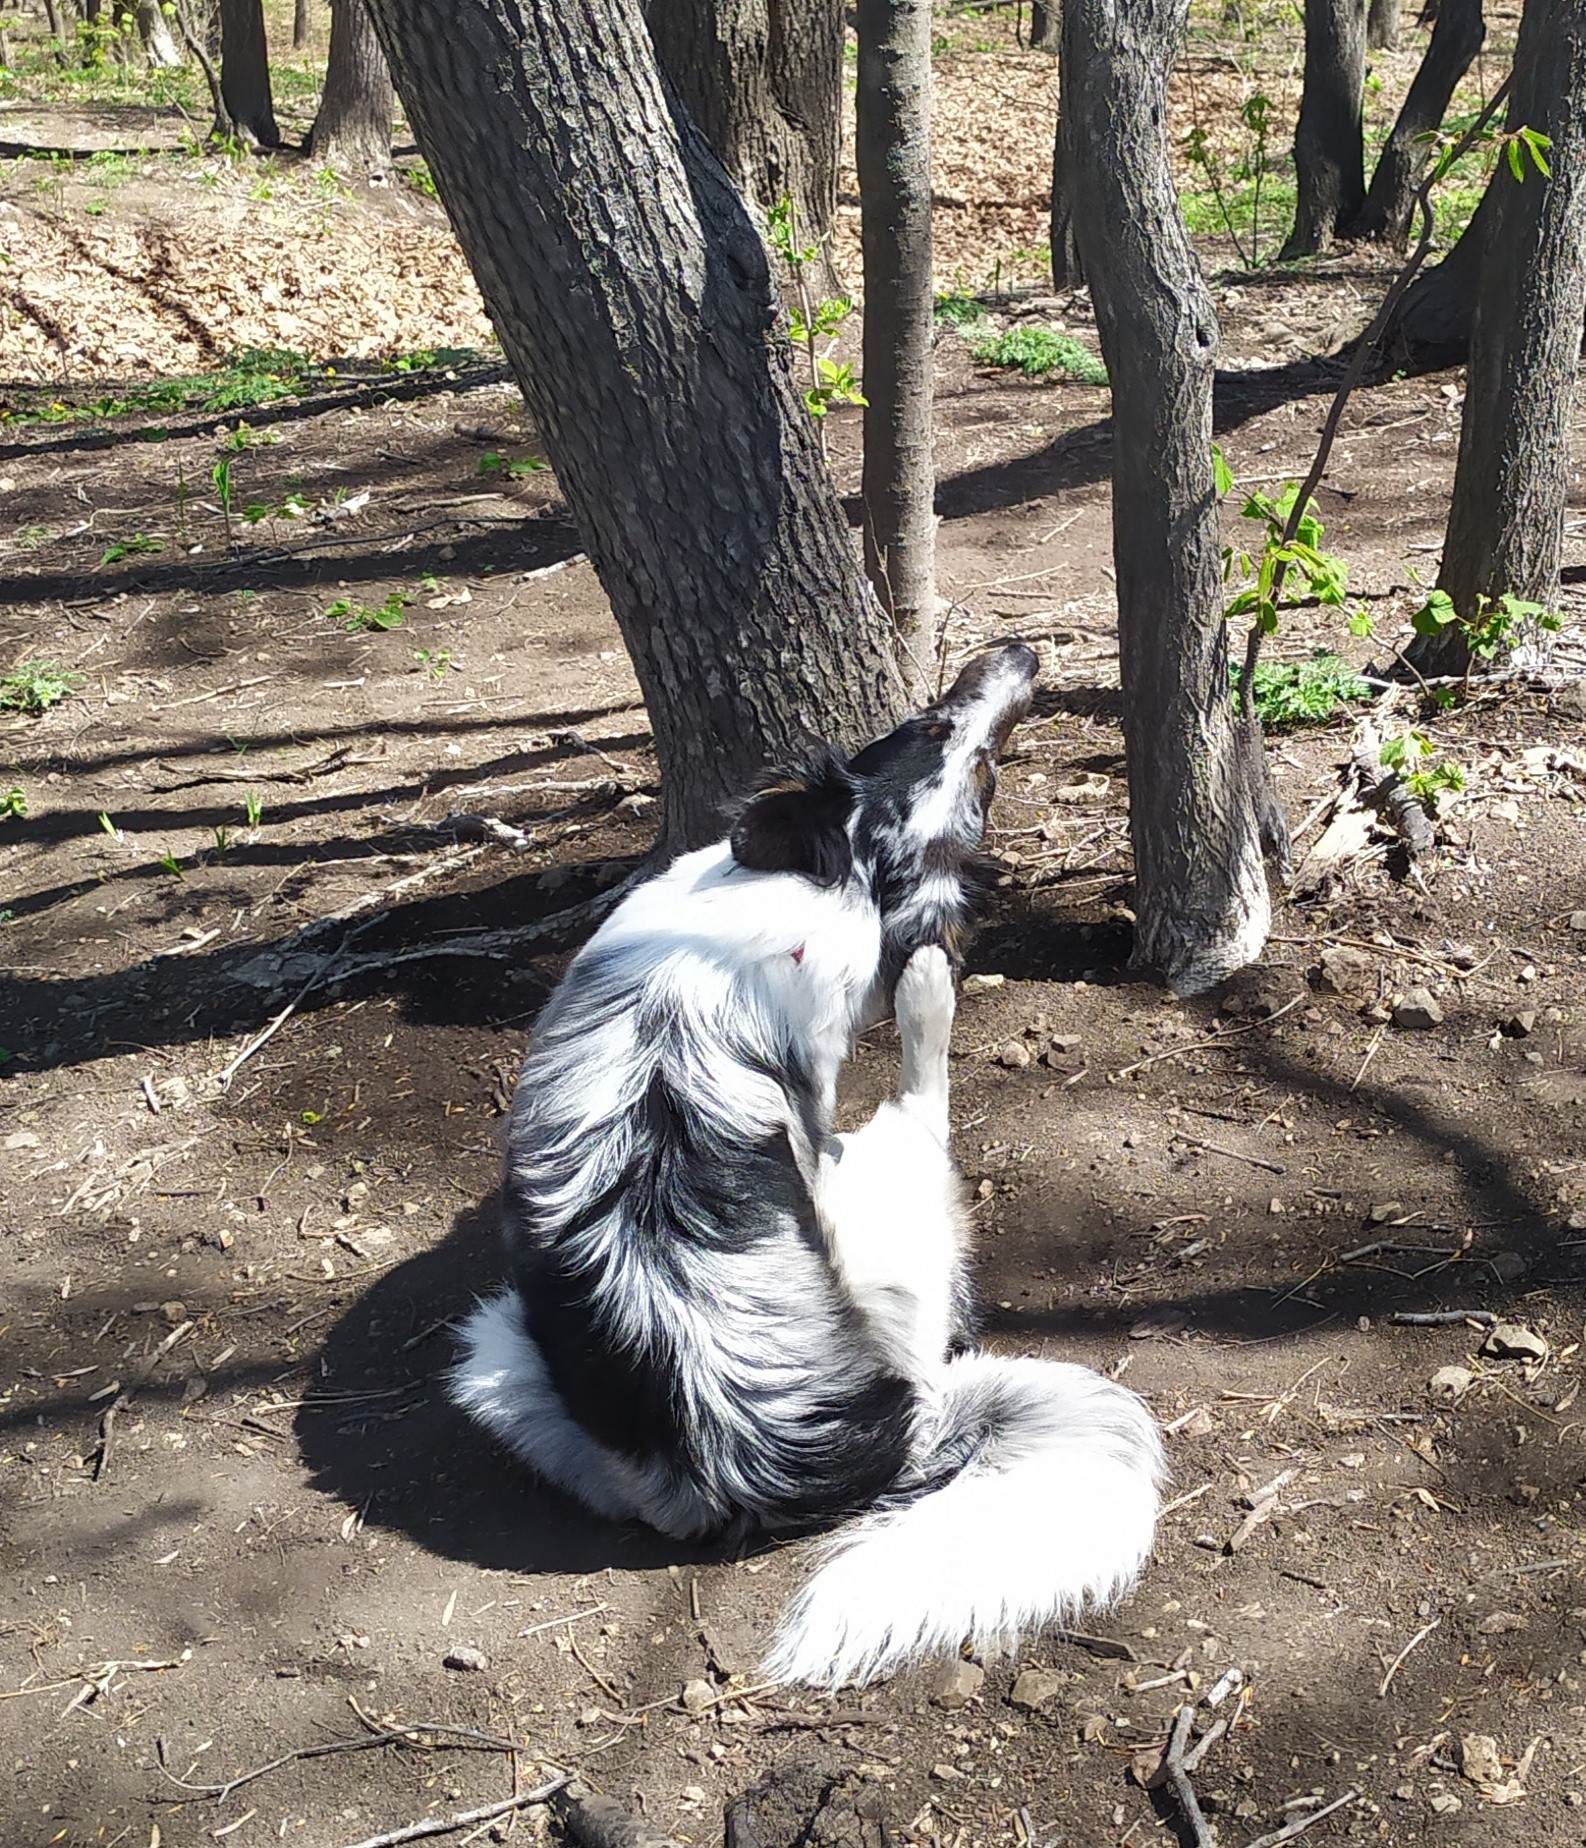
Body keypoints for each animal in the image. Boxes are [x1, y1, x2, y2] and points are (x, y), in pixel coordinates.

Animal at [451, 646, 1153, 1692]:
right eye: (943, 736)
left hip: (493, 1352)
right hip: (899, 1179)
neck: (804, 891)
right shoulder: (826, 1101)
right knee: (924, 1093)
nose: (1018, 654)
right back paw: (929, 996)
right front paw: (923, 976)